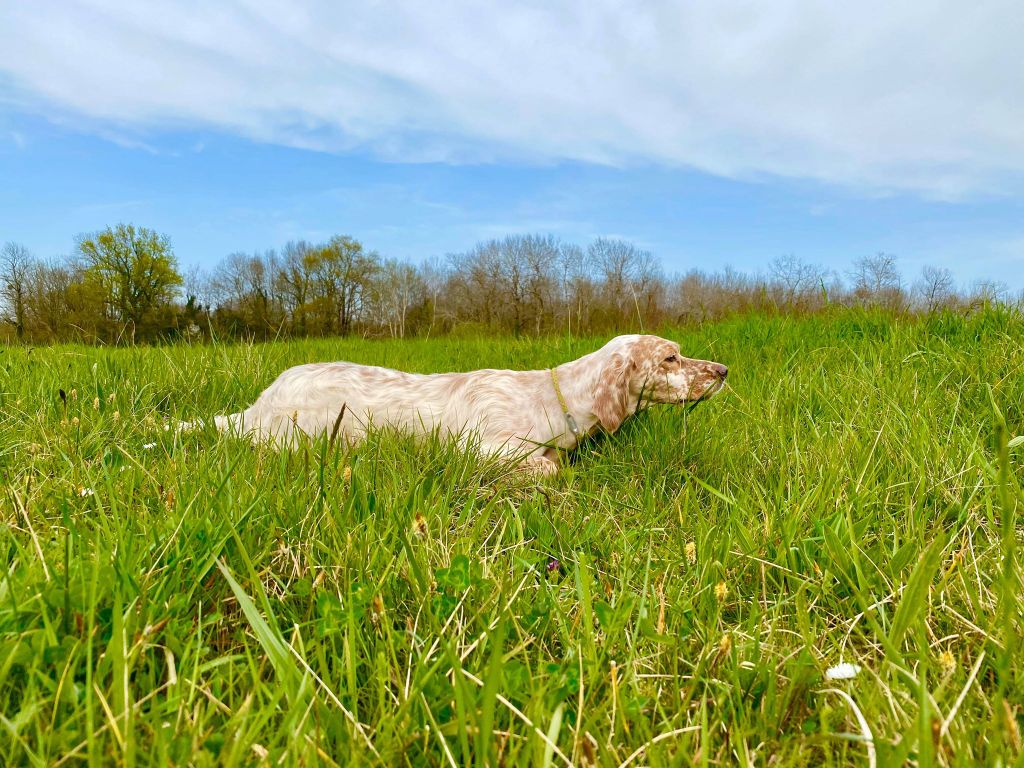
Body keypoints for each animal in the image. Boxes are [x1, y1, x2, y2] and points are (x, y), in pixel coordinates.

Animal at [201, 335, 729, 475]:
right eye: (670, 356)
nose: (723, 371)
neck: (553, 396)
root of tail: (256, 407)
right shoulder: (481, 445)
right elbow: (548, 467)